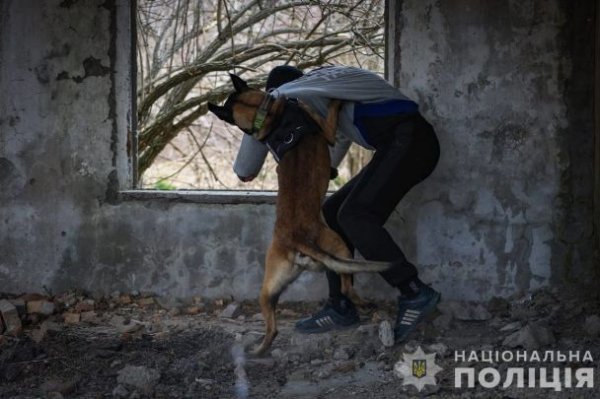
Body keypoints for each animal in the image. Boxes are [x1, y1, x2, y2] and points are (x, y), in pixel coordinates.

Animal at [209, 75, 392, 356]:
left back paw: (259, 351)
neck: (268, 116)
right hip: (339, 245)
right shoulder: (326, 131)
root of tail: (296, 241)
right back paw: (363, 303)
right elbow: (331, 114)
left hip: (267, 290)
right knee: (346, 286)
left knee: (272, 327)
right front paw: (335, 100)